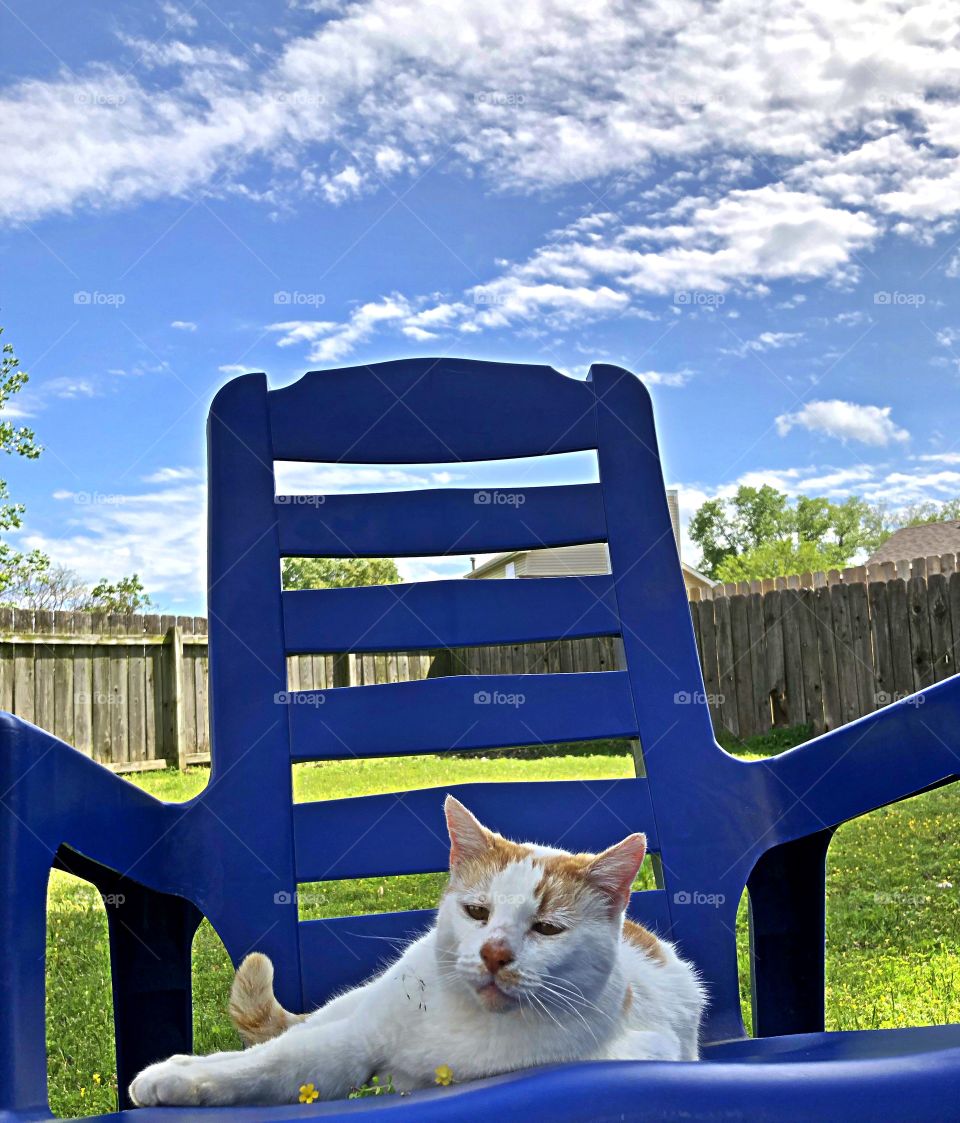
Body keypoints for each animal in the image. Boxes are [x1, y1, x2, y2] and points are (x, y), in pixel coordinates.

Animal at [129, 799, 705, 1105]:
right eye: (477, 912)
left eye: (546, 928)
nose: (495, 954)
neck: (466, 1020)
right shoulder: (352, 1043)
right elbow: (273, 1061)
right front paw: (180, 1078)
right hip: (361, 1003)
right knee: (285, 1034)